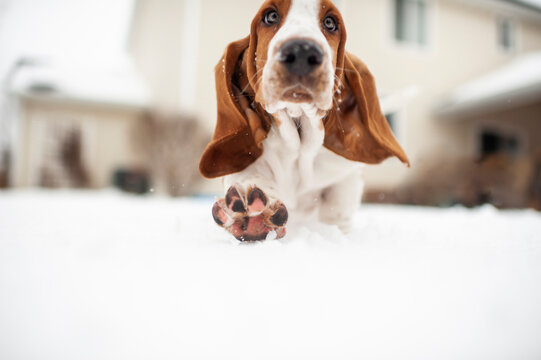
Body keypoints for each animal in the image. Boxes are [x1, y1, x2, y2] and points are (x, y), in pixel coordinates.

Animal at [200, 0, 408, 242]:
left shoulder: (345, 176)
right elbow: (248, 174)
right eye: (270, 16)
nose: (301, 51)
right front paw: (249, 212)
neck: (298, 144)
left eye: (330, 22)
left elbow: (337, 210)